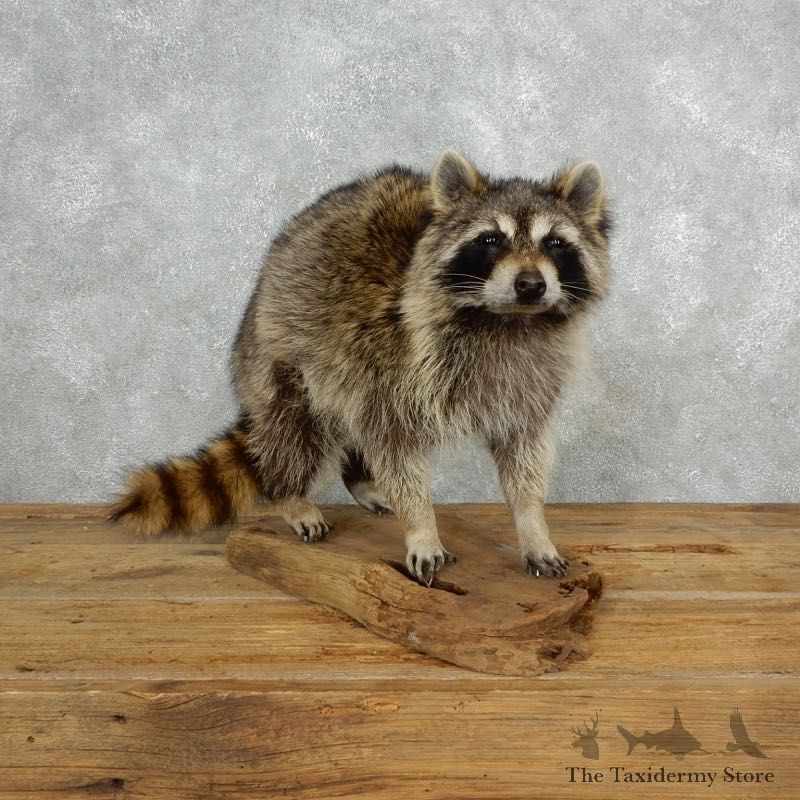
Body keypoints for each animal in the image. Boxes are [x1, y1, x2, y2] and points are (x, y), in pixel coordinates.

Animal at [111, 150, 611, 585]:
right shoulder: (397, 360)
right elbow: (397, 451)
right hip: (286, 351)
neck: (506, 321)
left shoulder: (529, 378)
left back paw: (359, 477)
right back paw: (290, 495)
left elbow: (524, 457)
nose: (530, 284)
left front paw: (533, 527)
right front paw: (421, 526)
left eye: (554, 243)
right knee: (295, 429)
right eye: (491, 240)